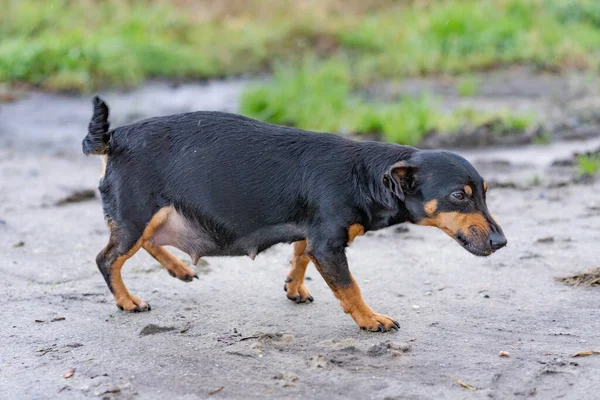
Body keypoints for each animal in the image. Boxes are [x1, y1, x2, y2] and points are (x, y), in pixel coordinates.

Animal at [84, 96, 506, 332]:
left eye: (485, 193)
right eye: (459, 195)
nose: (501, 241)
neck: (365, 176)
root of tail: (114, 139)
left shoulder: (312, 233)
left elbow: (299, 256)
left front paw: (294, 287)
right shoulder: (329, 245)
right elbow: (350, 287)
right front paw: (371, 320)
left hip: (147, 217)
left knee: (141, 245)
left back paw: (178, 268)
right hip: (138, 213)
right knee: (108, 258)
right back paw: (127, 300)